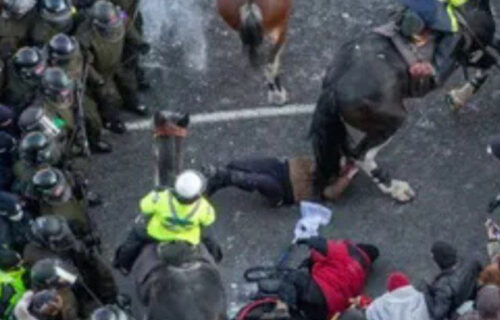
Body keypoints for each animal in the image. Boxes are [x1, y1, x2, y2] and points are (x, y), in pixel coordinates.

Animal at [310, 0, 498, 202]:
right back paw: (396, 188)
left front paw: (457, 98)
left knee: (345, 149)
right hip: (390, 121)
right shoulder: (473, 49)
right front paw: (460, 97)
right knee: (361, 155)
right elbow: (489, 65)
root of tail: (332, 88)